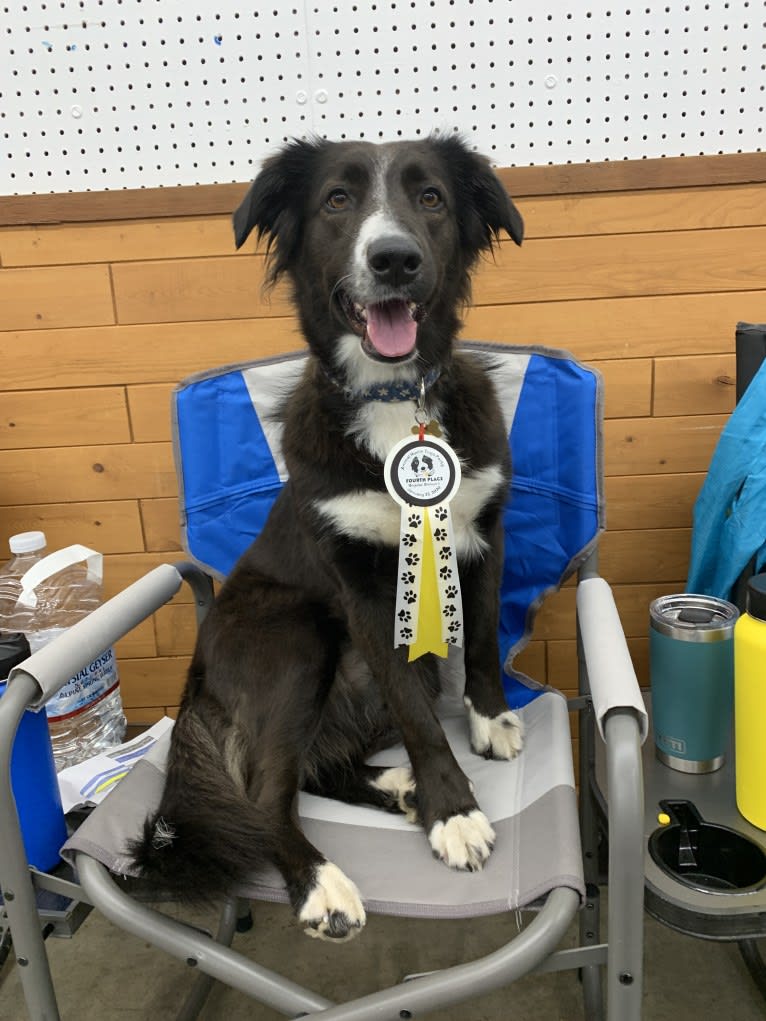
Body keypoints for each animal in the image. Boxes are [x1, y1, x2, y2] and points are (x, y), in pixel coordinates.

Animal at [131, 133, 527, 939]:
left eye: (431, 197)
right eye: (337, 201)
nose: (394, 259)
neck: (395, 398)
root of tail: (195, 685)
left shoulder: (483, 531)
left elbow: (484, 638)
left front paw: (488, 717)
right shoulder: (359, 589)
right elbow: (418, 716)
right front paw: (454, 810)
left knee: (319, 766)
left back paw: (397, 786)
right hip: (296, 641)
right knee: (262, 795)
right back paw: (322, 882)